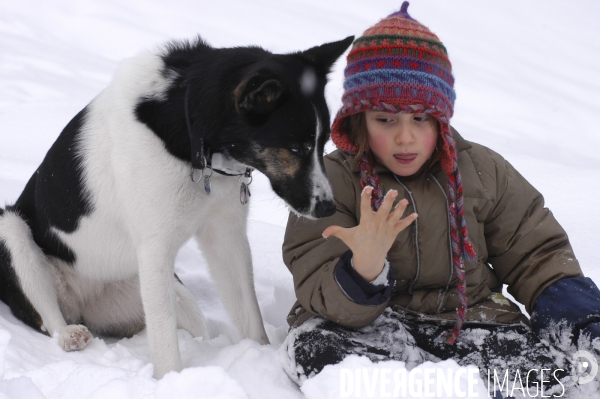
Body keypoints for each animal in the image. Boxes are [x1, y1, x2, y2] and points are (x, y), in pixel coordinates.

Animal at [0, 34, 354, 378]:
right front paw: (170, 381)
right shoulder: (156, 247)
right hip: (13, 229)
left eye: (322, 144)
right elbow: (166, 344)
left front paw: (259, 359)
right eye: (295, 148)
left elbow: (249, 314)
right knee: (50, 317)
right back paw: (69, 334)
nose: (327, 208)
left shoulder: (225, 237)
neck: (193, 136)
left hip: (166, 295)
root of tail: (85, 301)